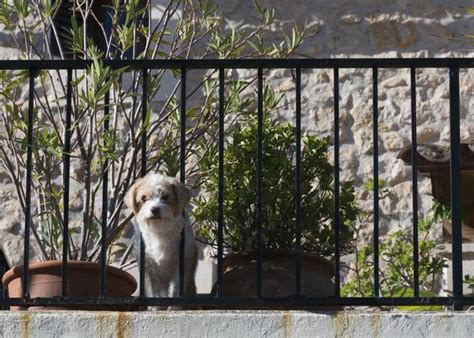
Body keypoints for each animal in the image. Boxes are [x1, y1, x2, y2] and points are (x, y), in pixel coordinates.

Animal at [125, 174, 197, 304]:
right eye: (144, 198)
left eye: (165, 196)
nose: (155, 209)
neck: (159, 230)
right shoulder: (148, 268)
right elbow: (154, 293)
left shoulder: (182, 264)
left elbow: (175, 291)